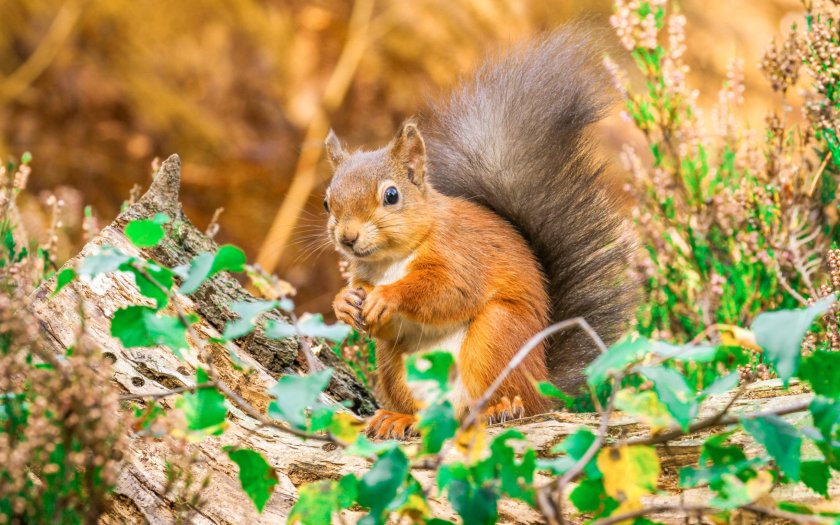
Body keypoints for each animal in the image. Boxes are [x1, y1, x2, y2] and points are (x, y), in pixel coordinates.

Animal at [323, 27, 637, 439]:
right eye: (327, 202)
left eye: (391, 195)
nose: (347, 238)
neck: (391, 260)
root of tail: (544, 384)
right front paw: (344, 302)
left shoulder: (461, 253)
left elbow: (447, 290)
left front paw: (388, 296)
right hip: (394, 365)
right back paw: (401, 418)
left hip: (496, 337)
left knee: (508, 401)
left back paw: (503, 408)